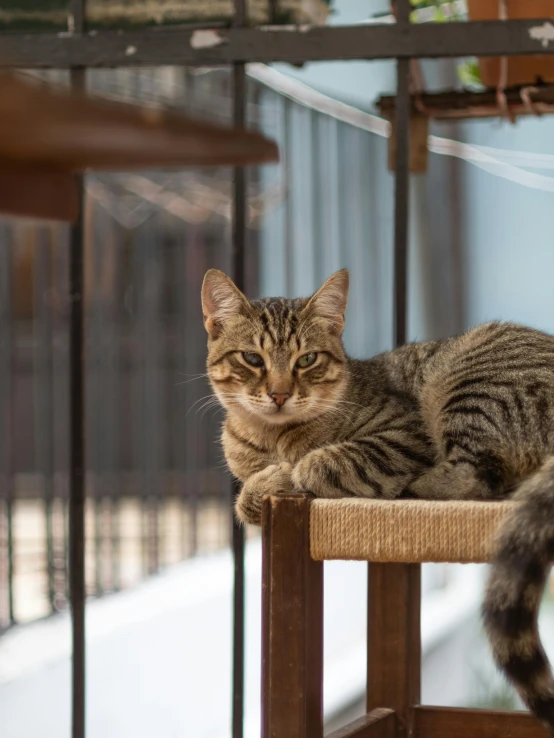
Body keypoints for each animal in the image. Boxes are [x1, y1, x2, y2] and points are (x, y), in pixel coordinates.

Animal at [203, 266, 554, 732]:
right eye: (252, 359)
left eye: (307, 360)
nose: (279, 394)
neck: (270, 437)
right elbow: (245, 497)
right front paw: (258, 487)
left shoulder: (404, 435)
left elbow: (315, 463)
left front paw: (283, 473)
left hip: (471, 386)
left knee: (475, 478)